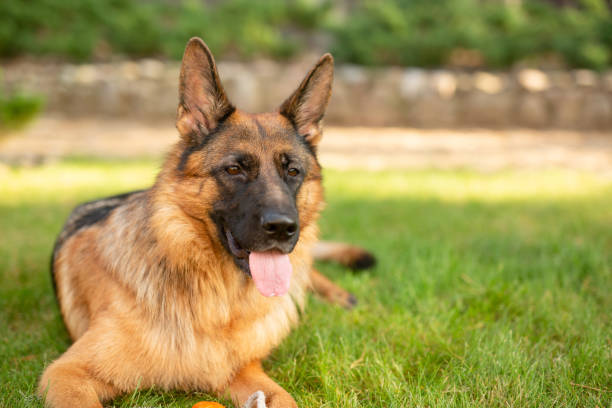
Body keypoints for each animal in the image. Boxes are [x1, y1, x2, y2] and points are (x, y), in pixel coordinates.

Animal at [39, 36, 372, 406]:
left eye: (293, 171)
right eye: (234, 169)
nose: (283, 228)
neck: (217, 298)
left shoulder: (246, 370)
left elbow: (286, 399)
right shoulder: (67, 373)